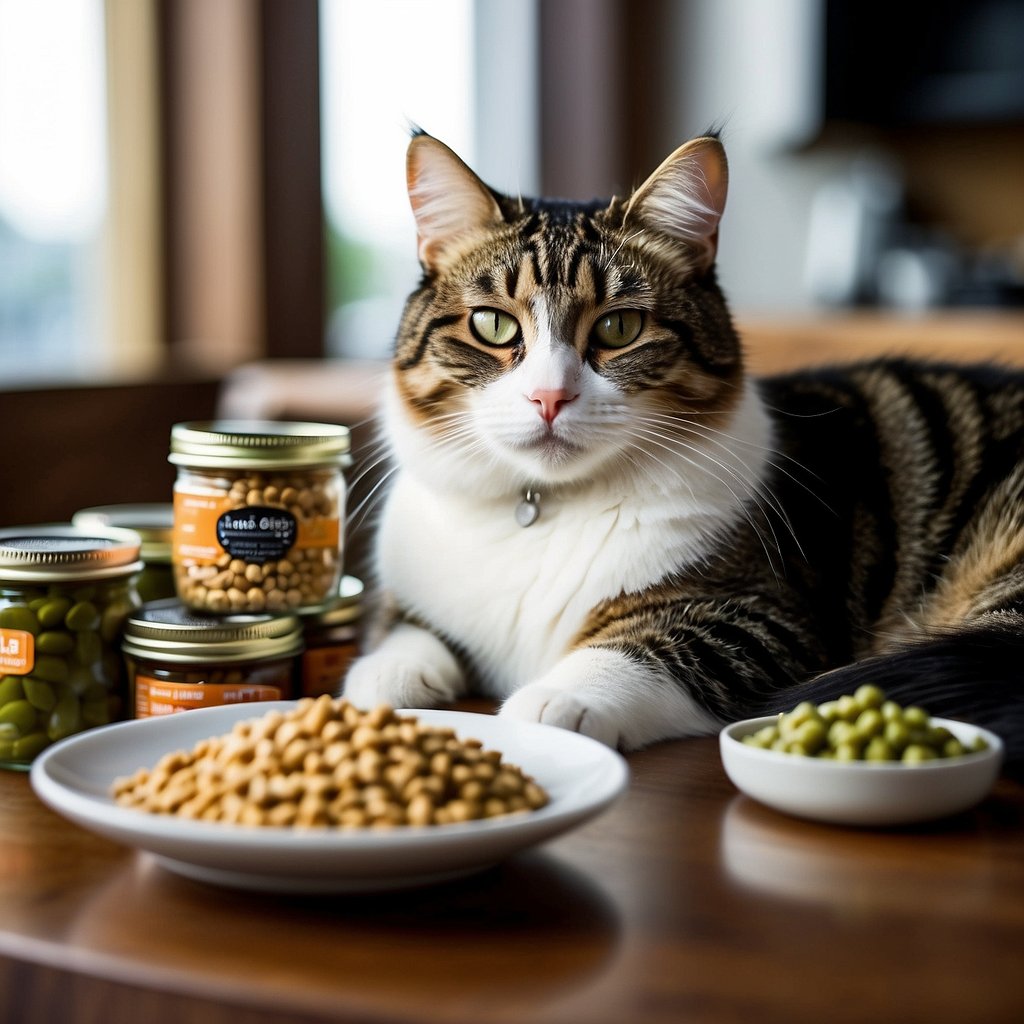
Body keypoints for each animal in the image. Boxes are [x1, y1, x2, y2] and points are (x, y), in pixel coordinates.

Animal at [339, 130, 1019, 770]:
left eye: (619, 328)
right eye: (493, 325)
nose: (549, 396)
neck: (543, 507)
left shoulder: (766, 618)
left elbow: (642, 651)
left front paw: (553, 702)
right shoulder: (415, 603)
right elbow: (402, 634)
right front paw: (382, 681)